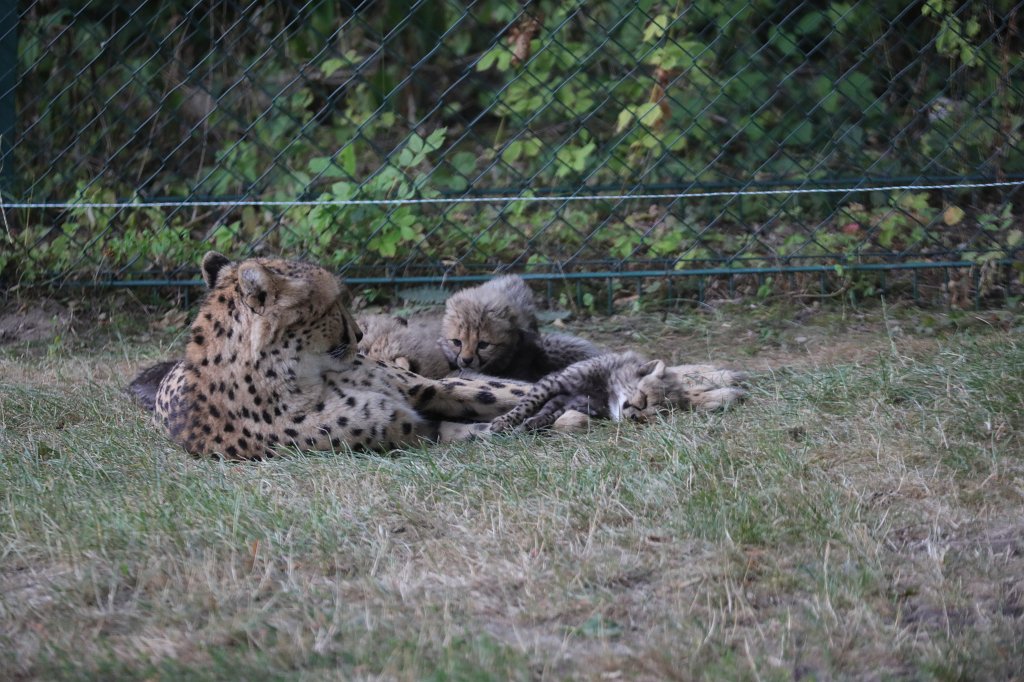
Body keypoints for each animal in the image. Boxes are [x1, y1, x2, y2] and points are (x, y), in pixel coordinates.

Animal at [141, 251, 532, 460]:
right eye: (332, 305)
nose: (359, 335)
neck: (299, 377)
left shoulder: (423, 389)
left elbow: (505, 393)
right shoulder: (416, 432)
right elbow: (482, 427)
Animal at [489, 351, 746, 433]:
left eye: (649, 417)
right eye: (644, 400)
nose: (633, 416)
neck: (606, 392)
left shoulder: (570, 402)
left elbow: (549, 414)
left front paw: (533, 423)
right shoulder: (553, 383)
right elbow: (528, 404)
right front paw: (505, 421)